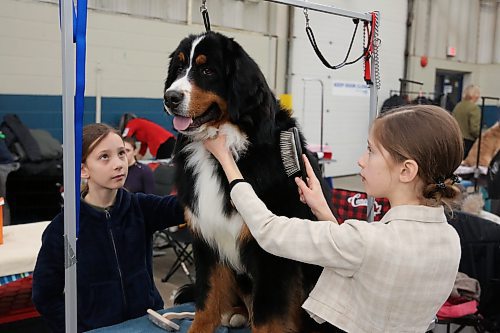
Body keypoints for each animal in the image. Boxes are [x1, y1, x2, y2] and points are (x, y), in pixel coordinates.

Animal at [164, 31, 336, 332]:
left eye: (207, 71)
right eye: (179, 67)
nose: (170, 97)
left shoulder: (272, 255)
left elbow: (268, 317)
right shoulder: (207, 238)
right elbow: (206, 301)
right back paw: (235, 313)